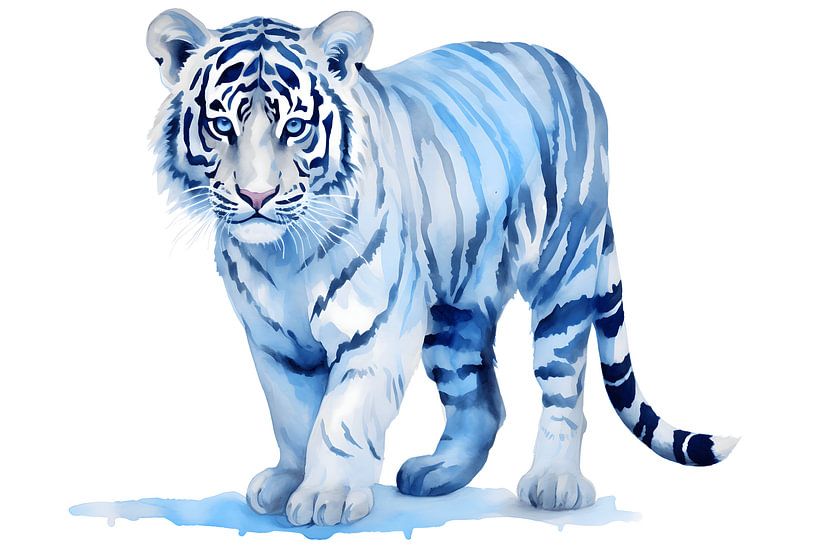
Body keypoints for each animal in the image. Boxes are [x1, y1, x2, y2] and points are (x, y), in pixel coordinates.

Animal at [146, 9, 737, 527]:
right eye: (221, 124)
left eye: (295, 126)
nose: (257, 196)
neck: (282, 253)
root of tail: (573, 72)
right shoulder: (274, 343)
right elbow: (291, 415)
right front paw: (290, 480)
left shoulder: (377, 324)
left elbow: (341, 415)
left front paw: (326, 495)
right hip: (454, 304)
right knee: (482, 401)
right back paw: (438, 473)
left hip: (564, 272)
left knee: (564, 386)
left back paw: (555, 483)